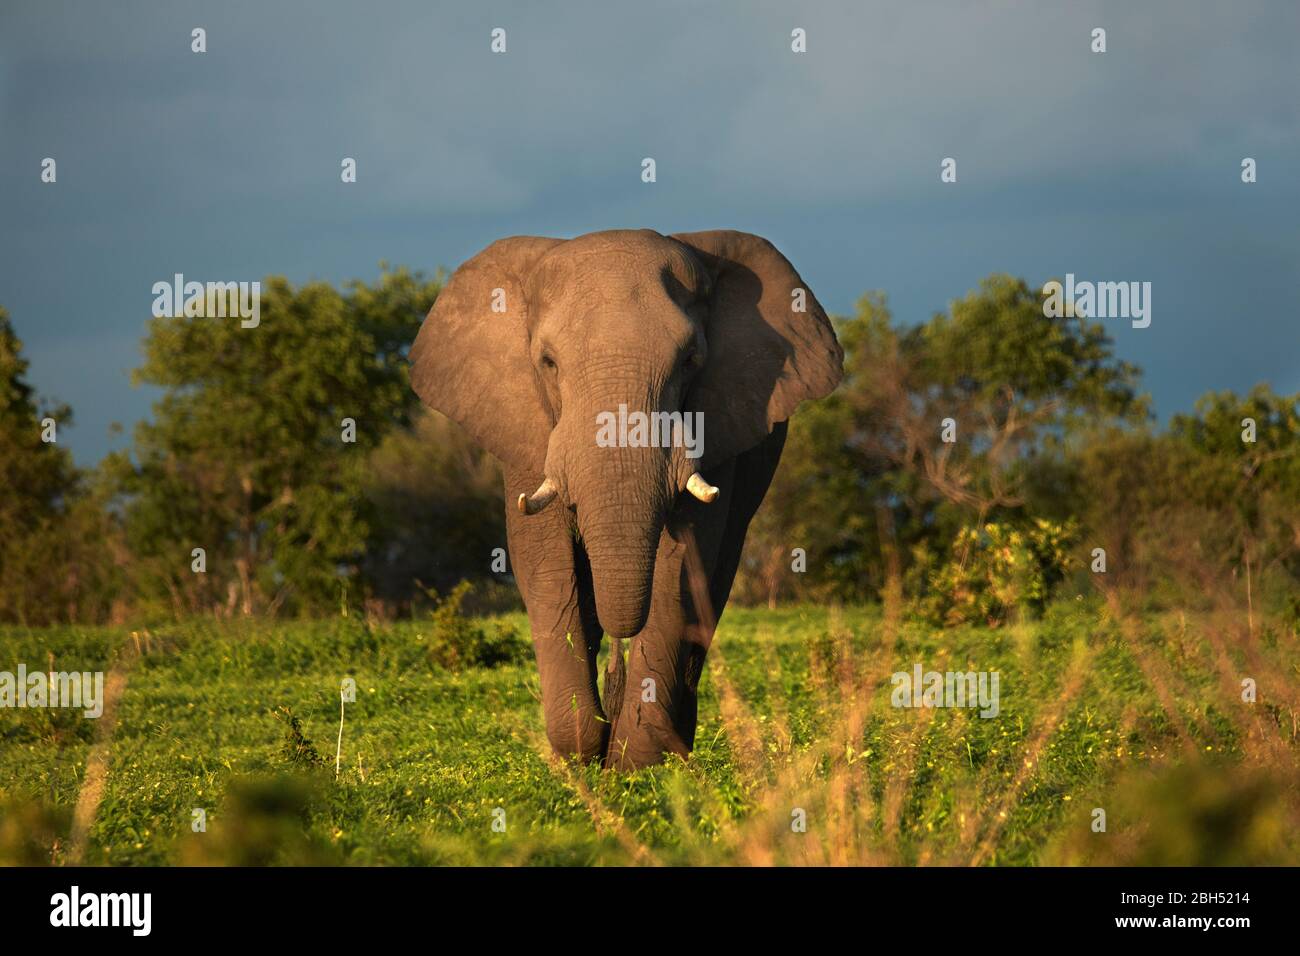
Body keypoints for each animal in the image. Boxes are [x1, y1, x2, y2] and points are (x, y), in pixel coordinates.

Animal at [409, 229, 843, 769]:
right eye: (547, 363)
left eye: (690, 361)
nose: (612, 708)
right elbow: (544, 560)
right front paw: (581, 752)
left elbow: (684, 564)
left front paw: (636, 760)